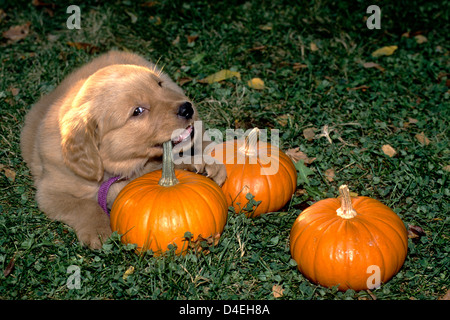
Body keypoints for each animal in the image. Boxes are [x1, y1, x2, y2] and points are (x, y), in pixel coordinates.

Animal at [21, 50, 227, 250]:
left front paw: (201, 164)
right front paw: (98, 230)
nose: (187, 108)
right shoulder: (50, 193)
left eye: (159, 85)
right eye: (137, 111)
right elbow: (83, 206)